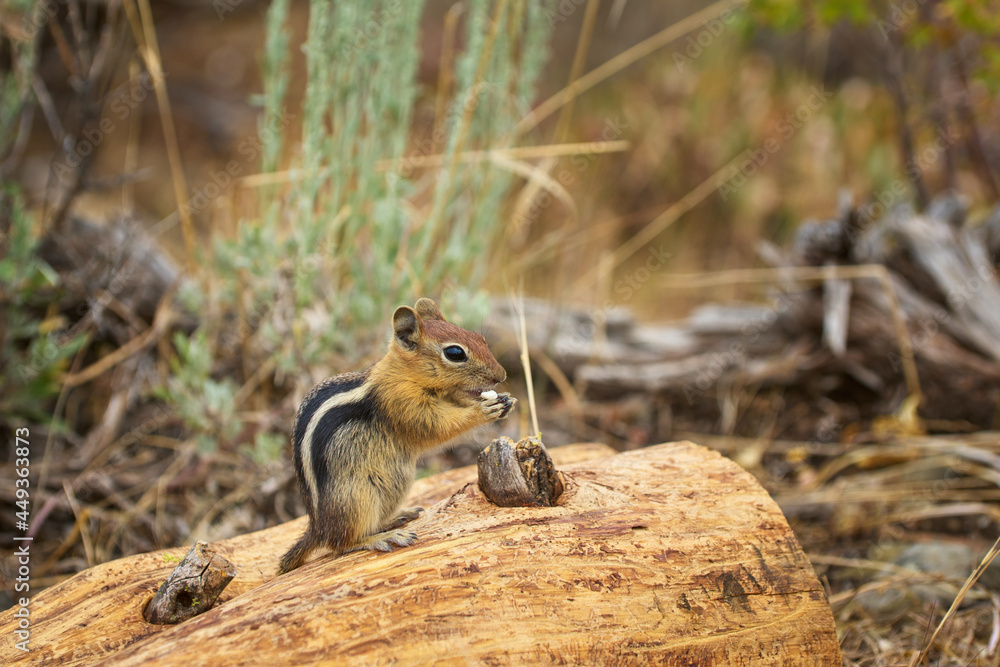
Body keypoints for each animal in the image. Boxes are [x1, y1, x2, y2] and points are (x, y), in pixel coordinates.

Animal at [278, 298, 516, 574]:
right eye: (455, 353)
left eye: (480, 337)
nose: (501, 376)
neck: (404, 374)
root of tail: (318, 527)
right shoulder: (402, 403)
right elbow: (436, 427)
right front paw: (483, 410)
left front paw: (505, 401)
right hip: (356, 496)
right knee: (340, 543)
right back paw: (381, 538)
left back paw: (396, 518)